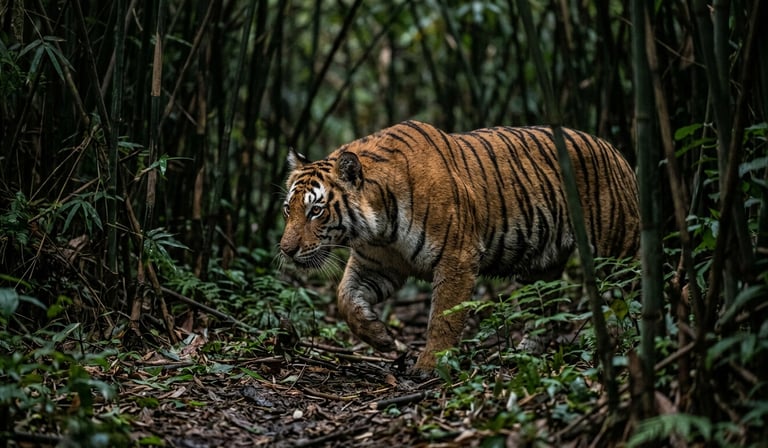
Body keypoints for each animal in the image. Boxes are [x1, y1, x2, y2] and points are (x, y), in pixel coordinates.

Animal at [279, 120, 640, 372]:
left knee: (633, 295)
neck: (379, 227)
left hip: (617, 253)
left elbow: (444, 317)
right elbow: (345, 298)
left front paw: (429, 365)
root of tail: (617, 152)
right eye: (288, 209)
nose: (285, 250)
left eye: (316, 210)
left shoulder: (457, 259)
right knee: (543, 308)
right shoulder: (377, 265)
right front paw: (379, 336)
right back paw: (526, 351)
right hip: (541, 266)